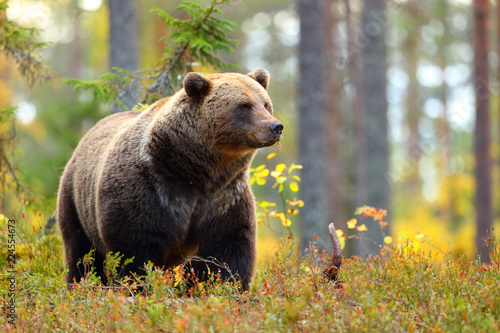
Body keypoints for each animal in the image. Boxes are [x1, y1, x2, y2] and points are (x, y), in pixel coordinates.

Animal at [57, 68, 284, 290]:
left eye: (265, 104)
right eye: (244, 105)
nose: (276, 127)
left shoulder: (224, 198)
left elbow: (227, 251)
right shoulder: (148, 191)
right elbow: (135, 251)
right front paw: (138, 287)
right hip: (76, 201)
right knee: (82, 254)